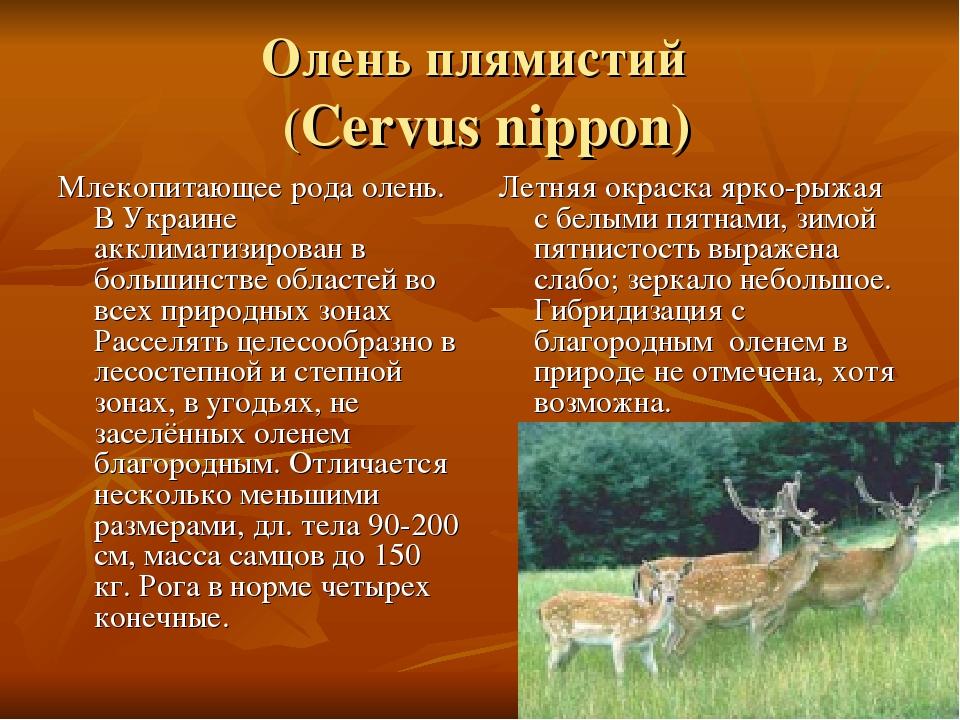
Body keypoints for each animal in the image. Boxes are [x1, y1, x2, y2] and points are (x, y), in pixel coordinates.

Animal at [539, 560, 694, 680]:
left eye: (679, 581)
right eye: (660, 582)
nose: (670, 598)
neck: (647, 622)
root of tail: (540, 608)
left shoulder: (646, 645)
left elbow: (654, 671)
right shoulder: (619, 638)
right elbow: (620, 673)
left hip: (574, 643)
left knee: (561, 665)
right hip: (558, 635)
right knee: (551, 664)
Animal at [664, 518, 843, 655]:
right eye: (824, 541)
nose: (841, 553)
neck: (784, 582)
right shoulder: (759, 611)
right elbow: (757, 647)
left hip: (677, 624)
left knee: (667, 648)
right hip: (694, 620)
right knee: (677, 650)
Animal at [774, 462, 948, 627]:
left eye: (917, 516)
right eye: (898, 518)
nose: (910, 527)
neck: (892, 564)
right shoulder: (872, 596)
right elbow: (874, 626)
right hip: (788, 605)